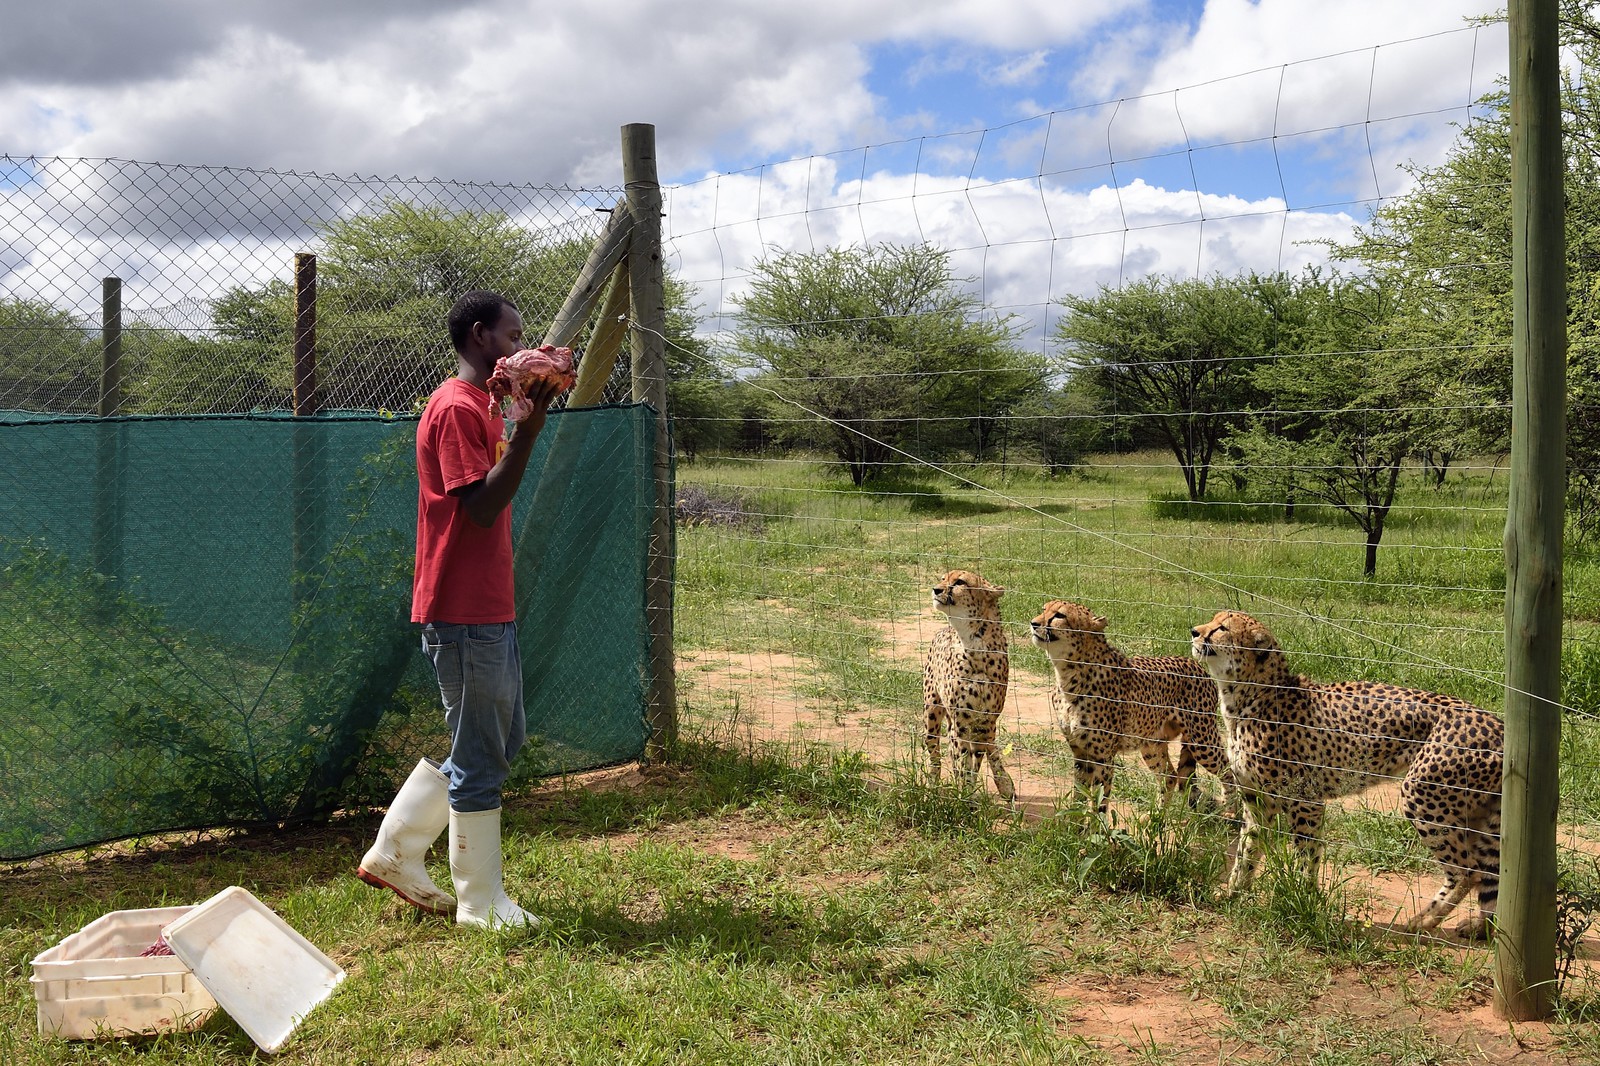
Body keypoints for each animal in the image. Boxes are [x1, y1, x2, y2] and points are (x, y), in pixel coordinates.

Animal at [923, 569, 1015, 802]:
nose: (936, 589)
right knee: (934, 750)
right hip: (931, 712)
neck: (974, 643)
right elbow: (961, 762)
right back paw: (932, 786)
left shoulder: (984, 720)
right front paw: (963, 797)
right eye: (943, 579)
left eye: (959, 582)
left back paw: (1005, 784)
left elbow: (974, 761)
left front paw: (970, 793)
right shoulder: (961, 722)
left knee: (987, 747)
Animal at [1030, 600, 1230, 812]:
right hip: (1152, 743)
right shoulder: (1080, 753)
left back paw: (1231, 811)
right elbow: (1078, 797)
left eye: (1059, 615)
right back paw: (1155, 818)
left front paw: (1095, 822)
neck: (1069, 675)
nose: (1033, 623)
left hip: (1201, 740)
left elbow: (1099, 803)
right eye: (1044, 610)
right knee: (1169, 776)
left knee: (1228, 770)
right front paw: (1073, 820)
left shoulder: (1103, 757)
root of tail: (1195, 664)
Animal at [1190, 610, 1503, 939]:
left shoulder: (1306, 801)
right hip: (1477, 813)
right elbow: (1247, 850)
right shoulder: (1257, 801)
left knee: (1468, 870)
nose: (1194, 632)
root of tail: (1498, 724)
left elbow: (1306, 855)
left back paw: (1422, 922)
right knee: (1491, 873)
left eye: (1222, 628)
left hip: (1422, 796)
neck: (1246, 696)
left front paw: (1304, 902)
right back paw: (1480, 927)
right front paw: (1233, 892)